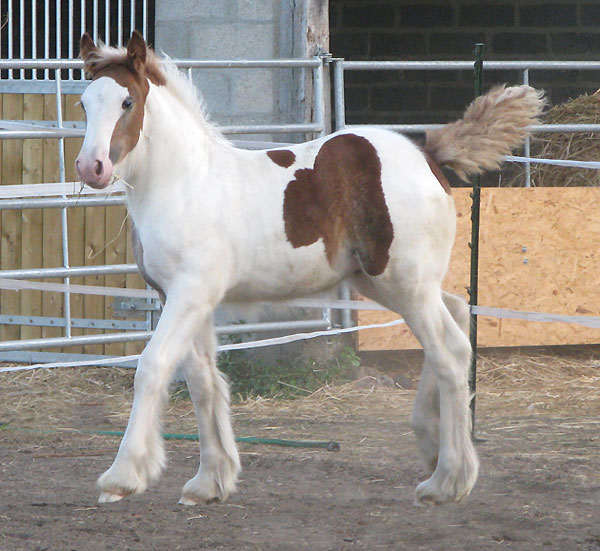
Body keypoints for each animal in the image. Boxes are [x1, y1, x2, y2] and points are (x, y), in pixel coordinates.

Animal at [74, 32, 544, 506]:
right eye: (83, 103)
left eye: (127, 101)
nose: (91, 167)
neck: (184, 183)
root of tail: (428, 155)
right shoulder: (184, 297)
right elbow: (202, 380)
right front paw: (210, 482)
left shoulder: (190, 292)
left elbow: (152, 367)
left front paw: (122, 477)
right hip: (385, 282)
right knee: (459, 314)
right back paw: (431, 446)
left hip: (405, 284)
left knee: (448, 351)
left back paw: (447, 479)